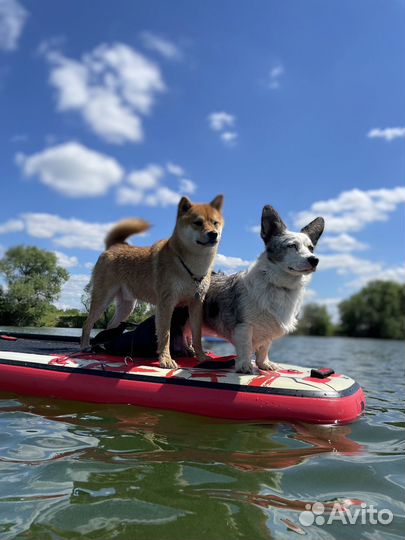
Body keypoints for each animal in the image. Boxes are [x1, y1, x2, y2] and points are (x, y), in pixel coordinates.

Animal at [79, 194, 224, 368]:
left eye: (215, 222)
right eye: (198, 222)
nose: (213, 234)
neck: (191, 266)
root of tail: (114, 246)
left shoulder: (196, 304)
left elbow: (196, 335)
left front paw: (201, 356)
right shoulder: (166, 304)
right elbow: (165, 335)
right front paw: (166, 359)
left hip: (126, 306)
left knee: (111, 325)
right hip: (102, 299)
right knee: (87, 324)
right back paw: (85, 346)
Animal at [202, 205, 326, 374]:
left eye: (311, 248)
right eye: (292, 246)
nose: (314, 260)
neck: (280, 286)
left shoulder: (268, 330)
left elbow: (264, 348)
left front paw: (264, 364)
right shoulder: (244, 326)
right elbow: (246, 347)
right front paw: (245, 365)